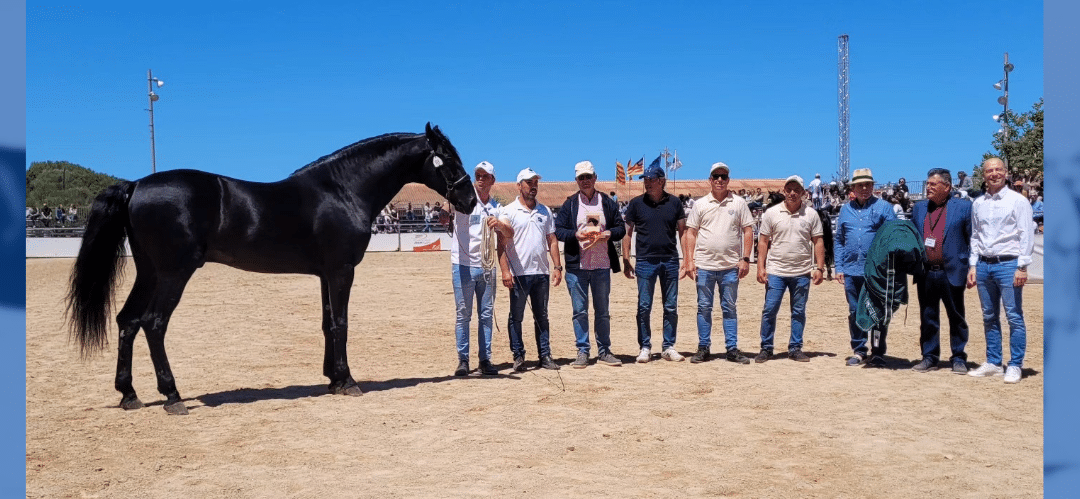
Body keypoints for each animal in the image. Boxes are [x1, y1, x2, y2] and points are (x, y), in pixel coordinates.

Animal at [65, 122, 475, 412]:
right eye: (449, 159)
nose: (470, 200)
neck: (342, 190)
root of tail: (135, 185)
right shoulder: (342, 270)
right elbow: (341, 323)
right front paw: (348, 382)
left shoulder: (325, 274)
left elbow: (327, 323)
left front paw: (332, 379)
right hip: (173, 273)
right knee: (153, 324)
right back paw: (172, 396)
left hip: (148, 272)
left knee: (128, 321)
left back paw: (129, 394)